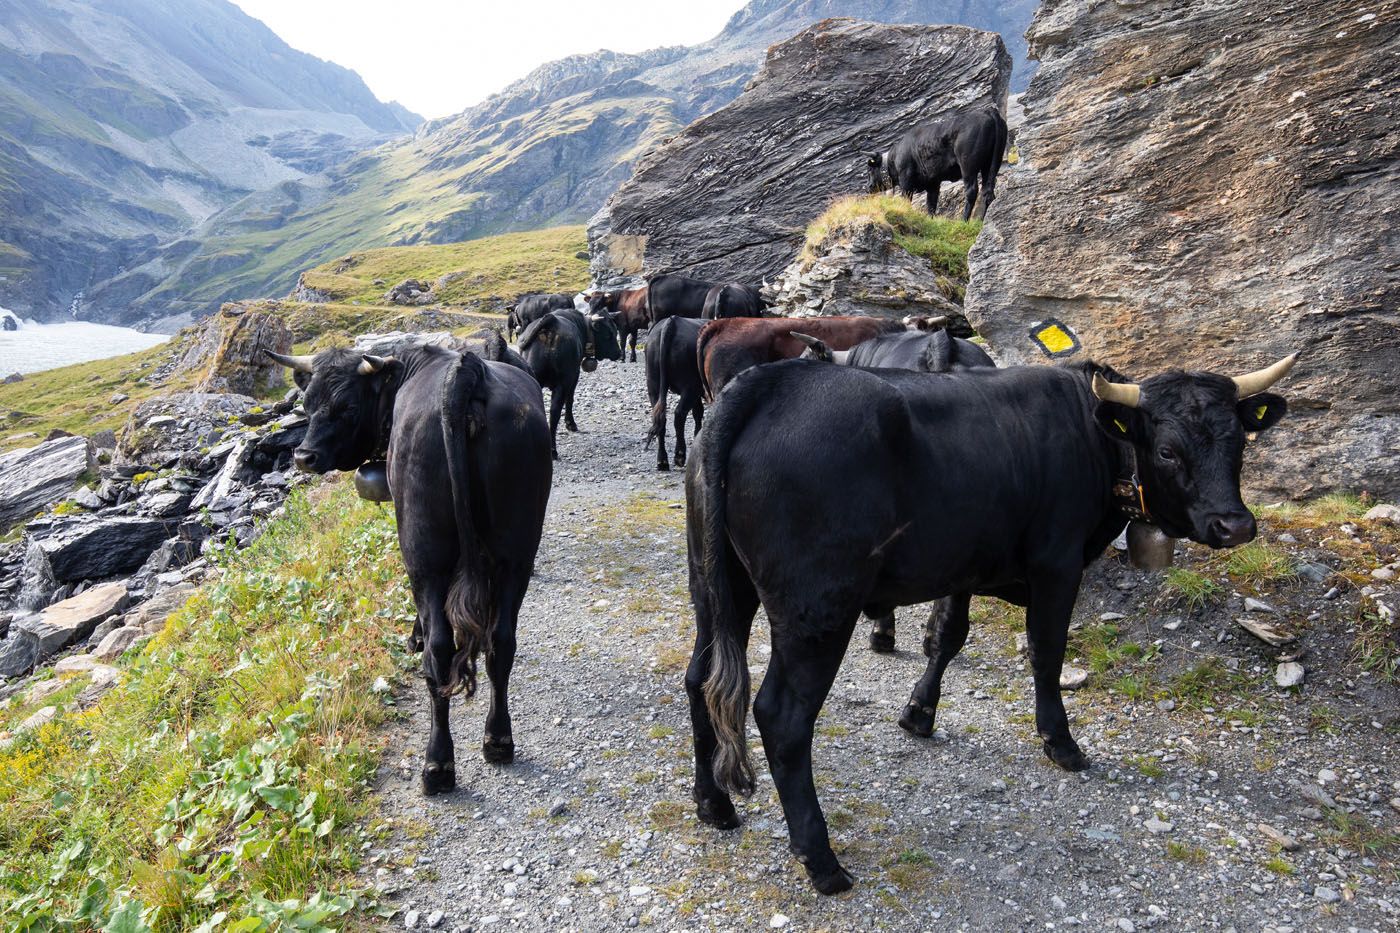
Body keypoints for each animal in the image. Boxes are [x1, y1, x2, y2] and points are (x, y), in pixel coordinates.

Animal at [267, 341, 551, 790]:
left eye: (347, 406)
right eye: (307, 404)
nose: (304, 457)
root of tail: (466, 372)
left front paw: (413, 635)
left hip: (424, 550)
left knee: (440, 648)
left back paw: (437, 764)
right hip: (518, 549)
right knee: (501, 641)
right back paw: (498, 739)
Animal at [646, 313, 705, 473]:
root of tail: (672, 321)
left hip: (654, 385)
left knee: (661, 419)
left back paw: (662, 461)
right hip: (690, 386)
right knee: (679, 414)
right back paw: (679, 455)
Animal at [862, 107, 1008, 219]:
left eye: (870, 169)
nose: (868, 187)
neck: (893, 157)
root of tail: (988, 111)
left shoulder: (906, 183)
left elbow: (907, 201)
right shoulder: (933, 183)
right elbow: (931, 206)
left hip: (968, 167)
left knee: (972, 191)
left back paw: (964, 220)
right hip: (990, 165)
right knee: (987, 191)